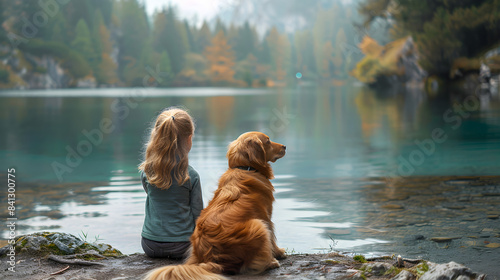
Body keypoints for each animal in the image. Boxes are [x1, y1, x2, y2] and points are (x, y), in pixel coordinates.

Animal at [145, 132, 286, 280]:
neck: (245, 168)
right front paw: (279, 252)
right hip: (258, 225)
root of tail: (211, 259)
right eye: (268, 141)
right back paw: (271, 262)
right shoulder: (266, 216)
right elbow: (272, 237)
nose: (285, 146)